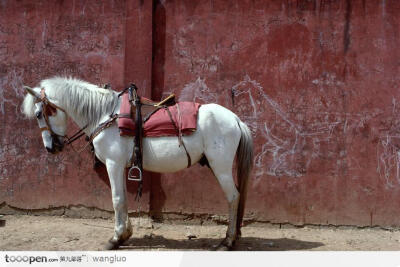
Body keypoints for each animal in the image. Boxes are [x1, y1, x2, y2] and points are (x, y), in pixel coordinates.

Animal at [21, 77, 253, 251]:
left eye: (39, 114)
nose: (51, 148)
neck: (105, 115)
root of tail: (235, 120)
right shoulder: (120, 166)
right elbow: (123, 198)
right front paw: (125, 234)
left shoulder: (113, 164)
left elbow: (116, 199)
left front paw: (115, 239)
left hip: (221, 167)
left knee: (233, 197)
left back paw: (227, 241)